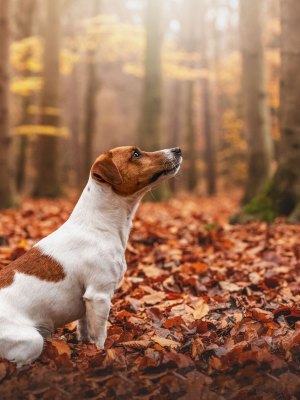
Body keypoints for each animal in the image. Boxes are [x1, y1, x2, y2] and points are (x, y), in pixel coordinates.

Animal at [0, 146, 182, 366]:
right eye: (136, 154)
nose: (177, 149)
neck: (99, 226)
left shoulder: (87, 303)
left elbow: (85, 329)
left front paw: (85, 348)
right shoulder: (99, 296)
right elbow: (100, 336)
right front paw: (101, 354)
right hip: (31, 341)